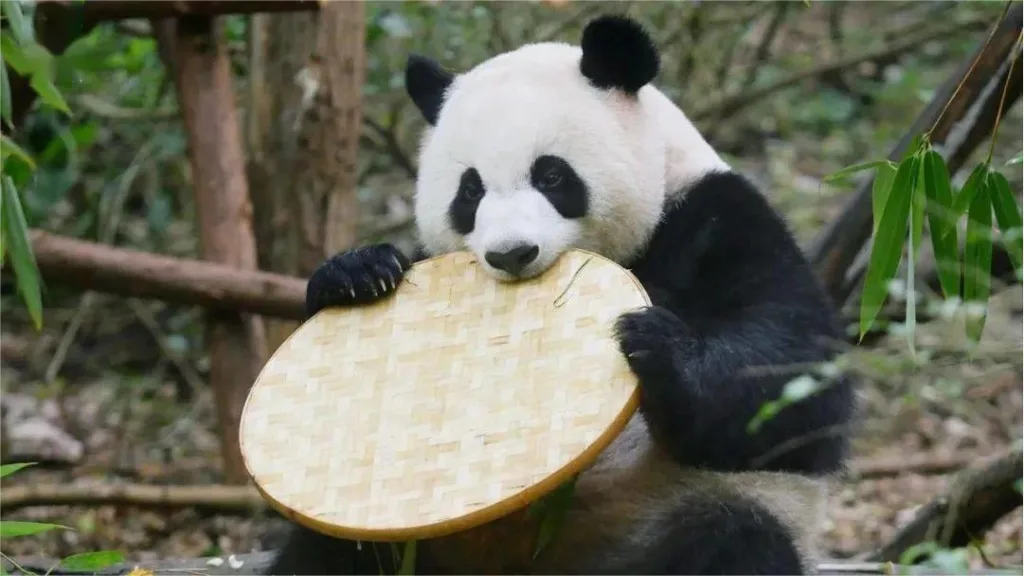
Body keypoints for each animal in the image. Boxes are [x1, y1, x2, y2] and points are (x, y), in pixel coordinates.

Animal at [267, 14, 856, 576]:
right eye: (470, 190)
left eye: (551, 176)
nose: (510, 253)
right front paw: (358, 273)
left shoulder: (716, 217)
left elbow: (796, 384)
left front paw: (657, 346)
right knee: (332, 552)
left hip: (685, 511)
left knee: (732, 542)